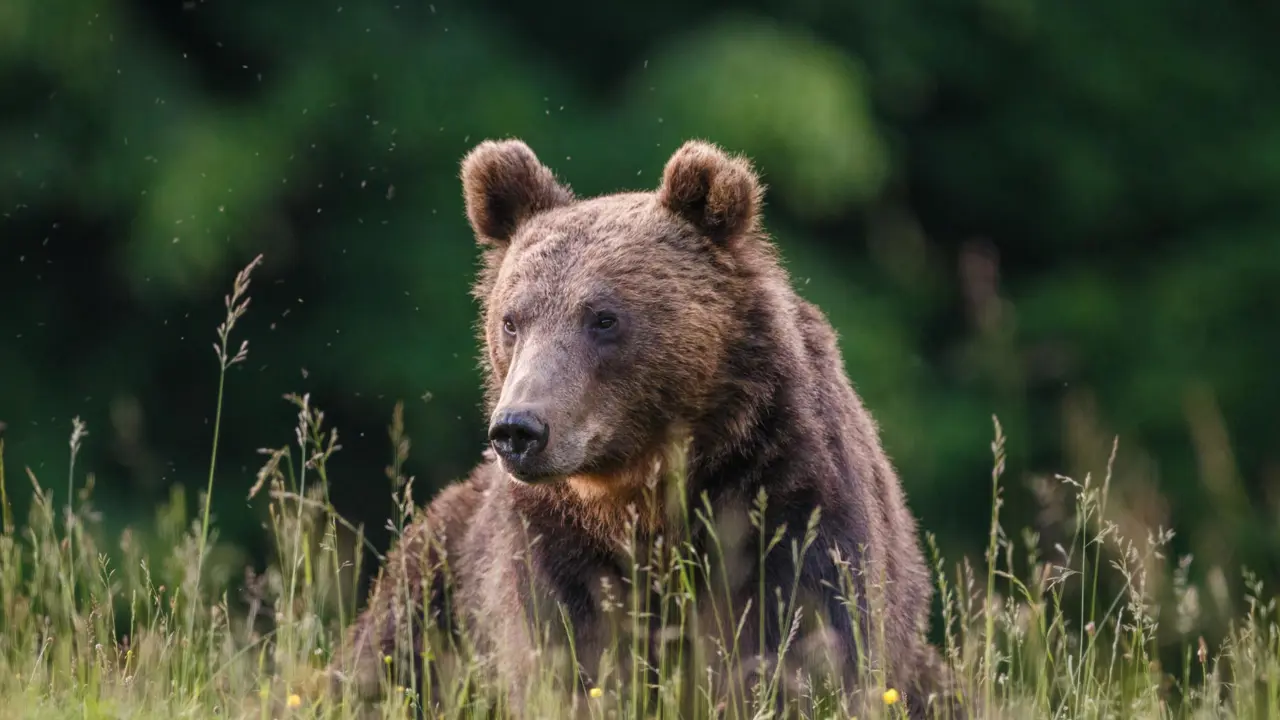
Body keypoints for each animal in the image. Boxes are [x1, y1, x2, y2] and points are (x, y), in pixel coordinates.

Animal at [325, 139, 956, 719]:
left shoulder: (790, 497)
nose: (519, 430)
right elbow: (572, 660)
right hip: (436, 570)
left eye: (604, 318)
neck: (641, 489)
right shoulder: (554, 546)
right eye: (511, 320)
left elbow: (806, 647)